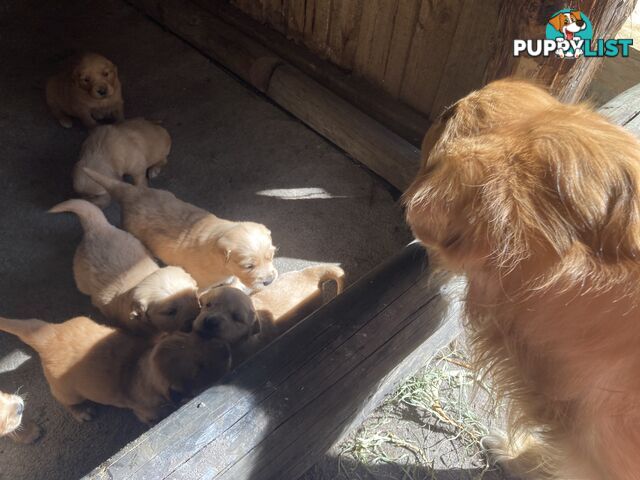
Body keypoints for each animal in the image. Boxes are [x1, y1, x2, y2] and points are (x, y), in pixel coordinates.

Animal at [0, 316, 230, 424]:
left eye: (199, 337)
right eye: (200, 367)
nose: (227, 351)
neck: (141, 364)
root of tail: (47, 335)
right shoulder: (146, 412)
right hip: (66, 391)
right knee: (66, 402)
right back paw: (82, 412)